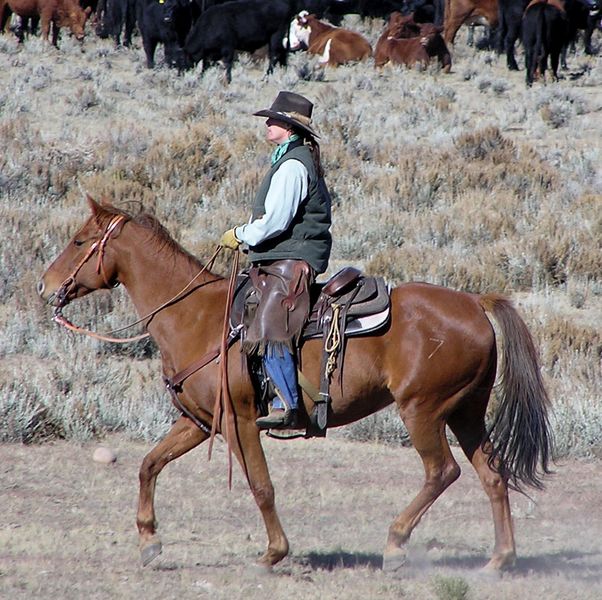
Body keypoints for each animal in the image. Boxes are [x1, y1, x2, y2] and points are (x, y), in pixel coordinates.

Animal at [37, 197, 552, 572]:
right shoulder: (200, 423)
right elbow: (148, 465)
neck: (194, 316)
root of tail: (475, 302)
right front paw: (148, 540)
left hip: (422, 411)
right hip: (466, 413)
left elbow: (261, 485)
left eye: (79, 240)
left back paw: (395, 545)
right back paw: (499, 561)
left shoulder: (241, 421)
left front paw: (273, 553)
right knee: (493, 474)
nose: (44, 286)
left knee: (442, 472)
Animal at [184, 0, 314, 83]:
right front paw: (200, 78)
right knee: (282, 55)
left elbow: (227, 63)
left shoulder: (228, 47)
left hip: (275, 36)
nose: (181, 73)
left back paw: (266, 77)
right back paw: (282, 73)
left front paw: (228, 80)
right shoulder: (211, 53)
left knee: (275, 55)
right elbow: (205, 66)